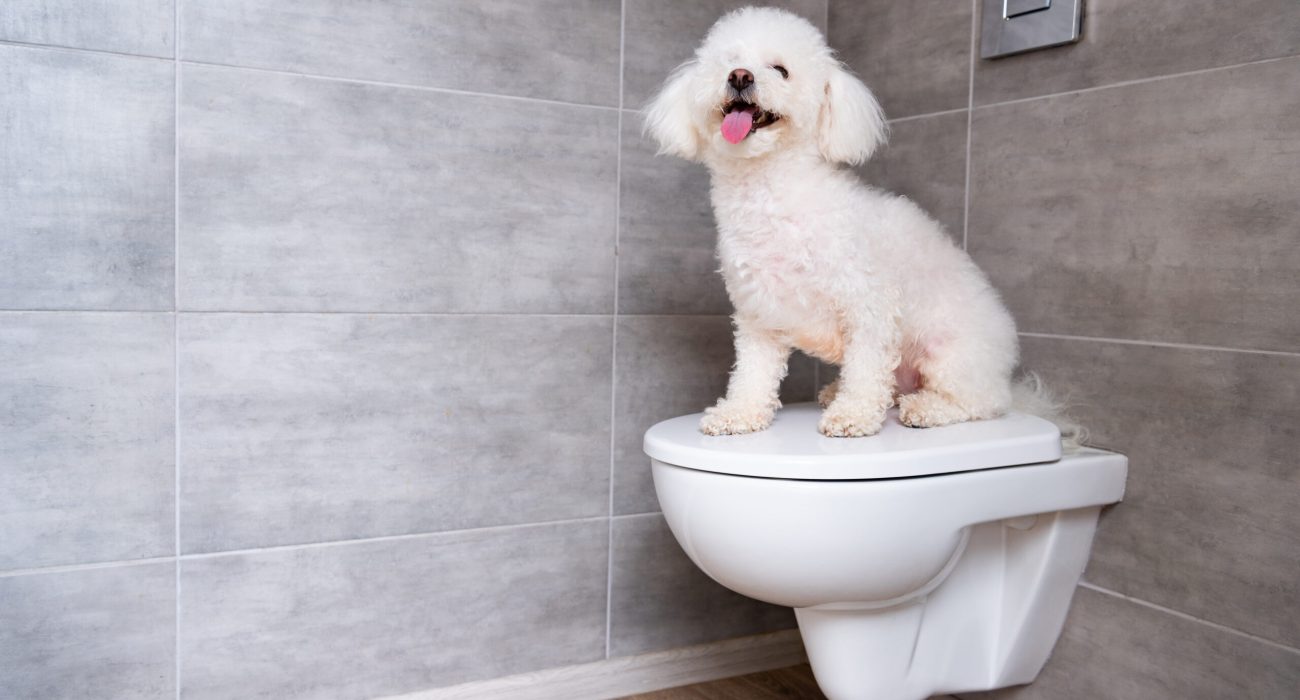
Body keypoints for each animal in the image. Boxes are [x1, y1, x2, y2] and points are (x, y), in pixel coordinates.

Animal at [650, 6, 1024, 437]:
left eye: (781, 70)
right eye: (728, 63)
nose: (740, 77)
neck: (773, 196)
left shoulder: (869, 305)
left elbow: (865, 370)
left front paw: (853, 415)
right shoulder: (758, 314)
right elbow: (752, 373)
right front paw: (740, 412)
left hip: (951, 354)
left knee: (982, 403)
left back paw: (927, 408)